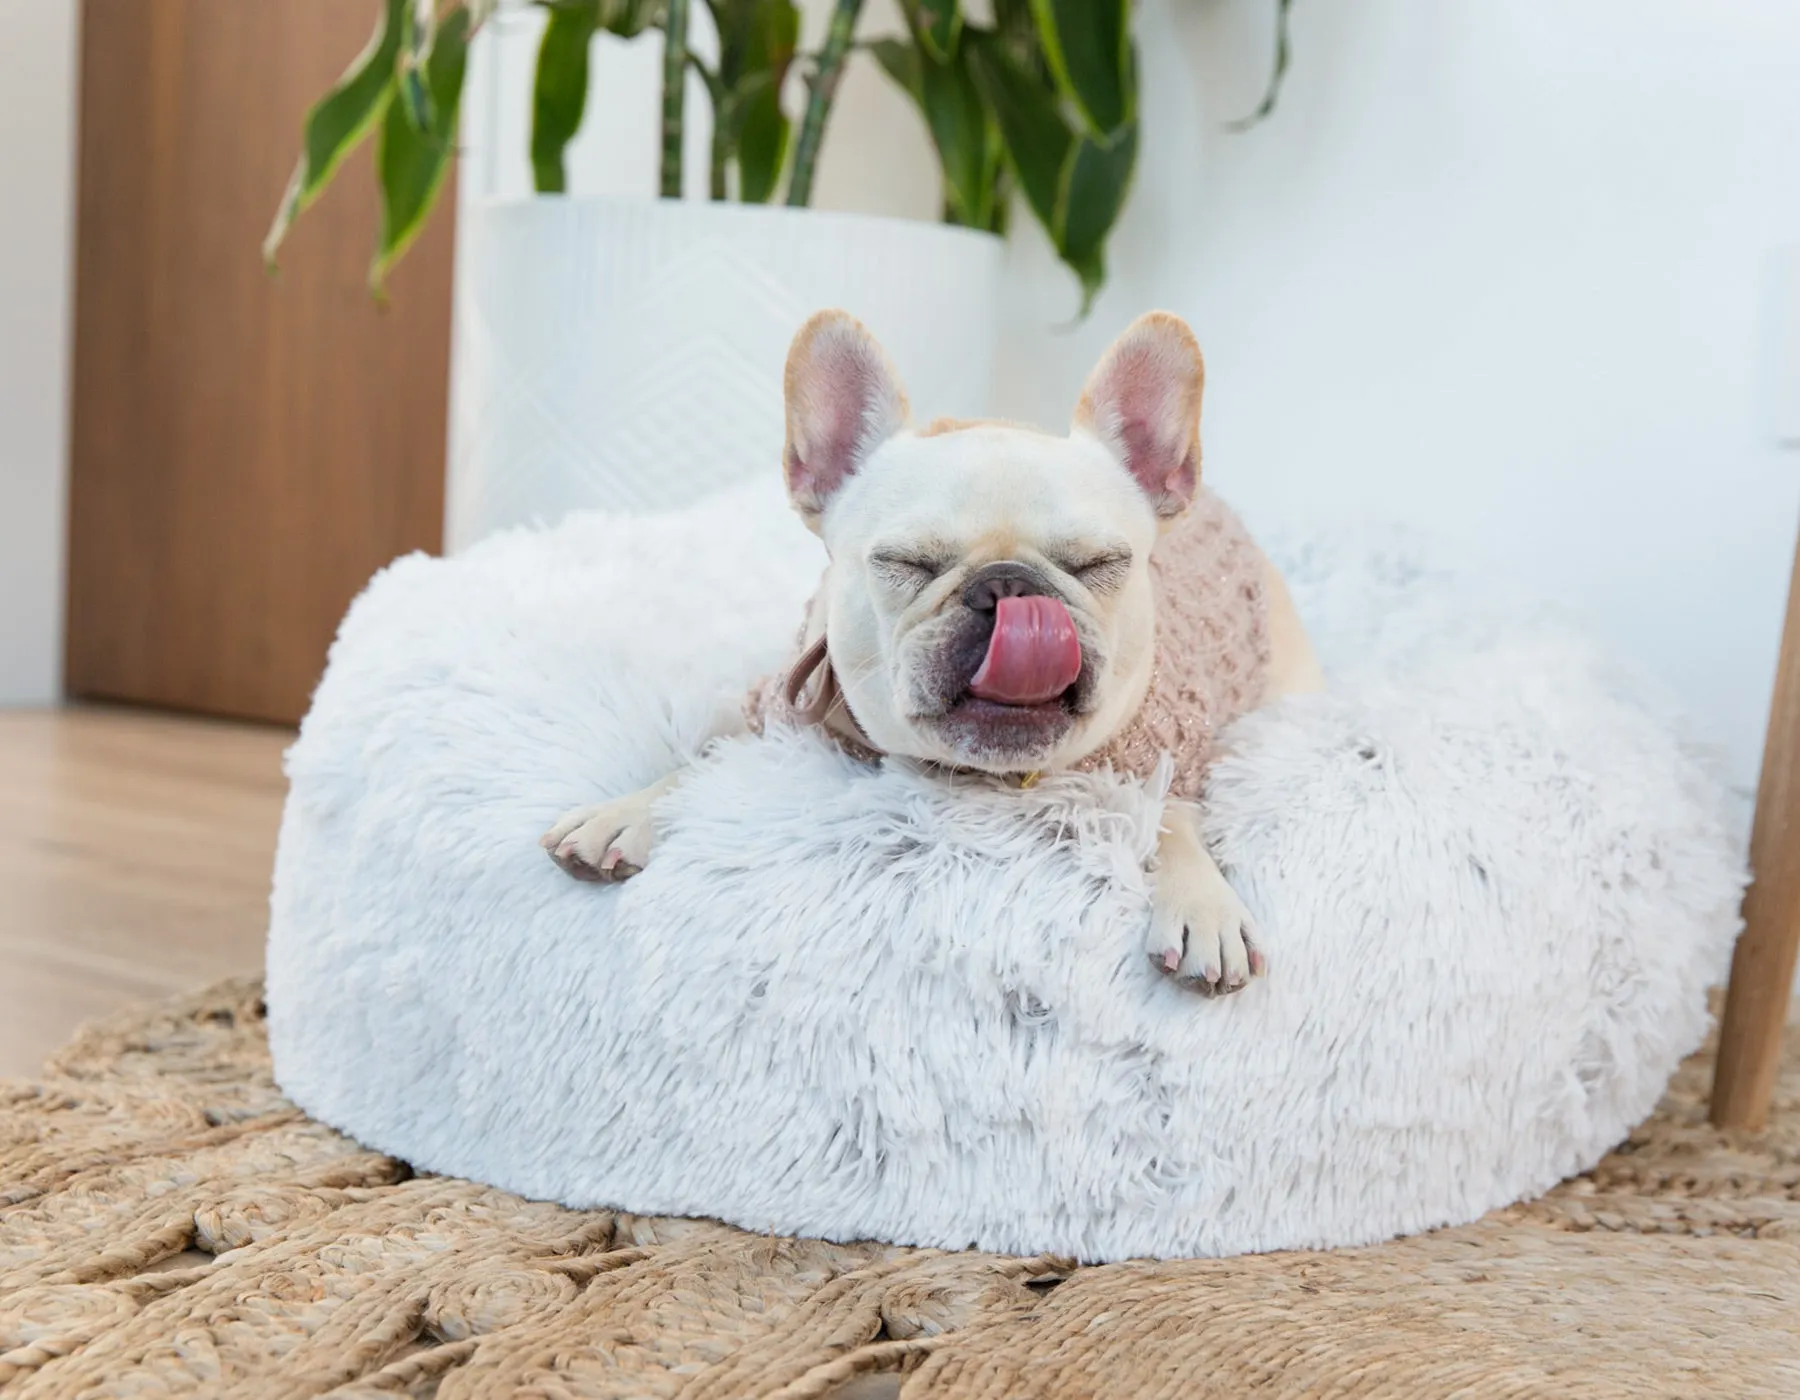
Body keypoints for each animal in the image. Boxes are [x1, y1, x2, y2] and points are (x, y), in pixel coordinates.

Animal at [540, 311, 1317, 986]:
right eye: (904, 563)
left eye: (1100, 564)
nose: (1008, 586)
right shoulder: (776, 708)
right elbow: (704, 755)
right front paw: (629, 810)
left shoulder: (1174, 752)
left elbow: (1174, 820)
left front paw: (1202, 903)